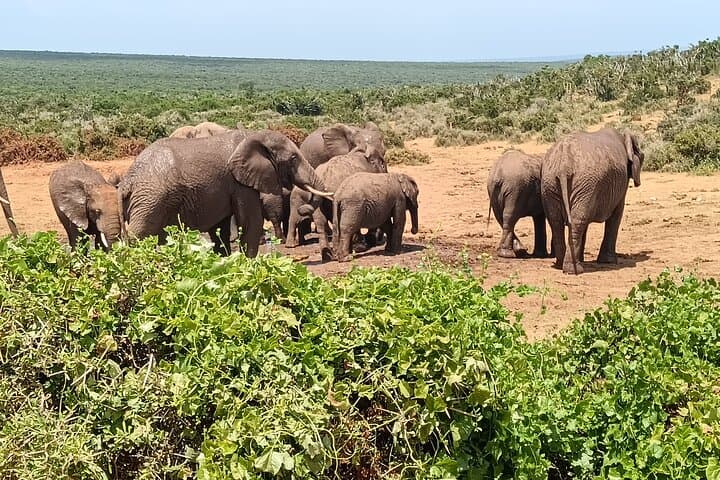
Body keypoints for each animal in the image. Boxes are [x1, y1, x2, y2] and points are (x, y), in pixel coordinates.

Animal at [118, 130, 331, 258]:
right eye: (293, 158)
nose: (304, 208)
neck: (253, 135)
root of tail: (126, 182)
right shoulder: (239, 183)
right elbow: (251, 222)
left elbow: (220, 228)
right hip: (150, 201)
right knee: (139, 234)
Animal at [541, 127, 644, 275]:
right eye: (641, 155)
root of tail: (564, 165)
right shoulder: (621, 184)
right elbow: (616, 215)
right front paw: (609, 262)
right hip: (584, 183)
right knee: (577, 221)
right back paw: (574, 270)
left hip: (550, 183)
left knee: (557, 221)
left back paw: (561, 265)